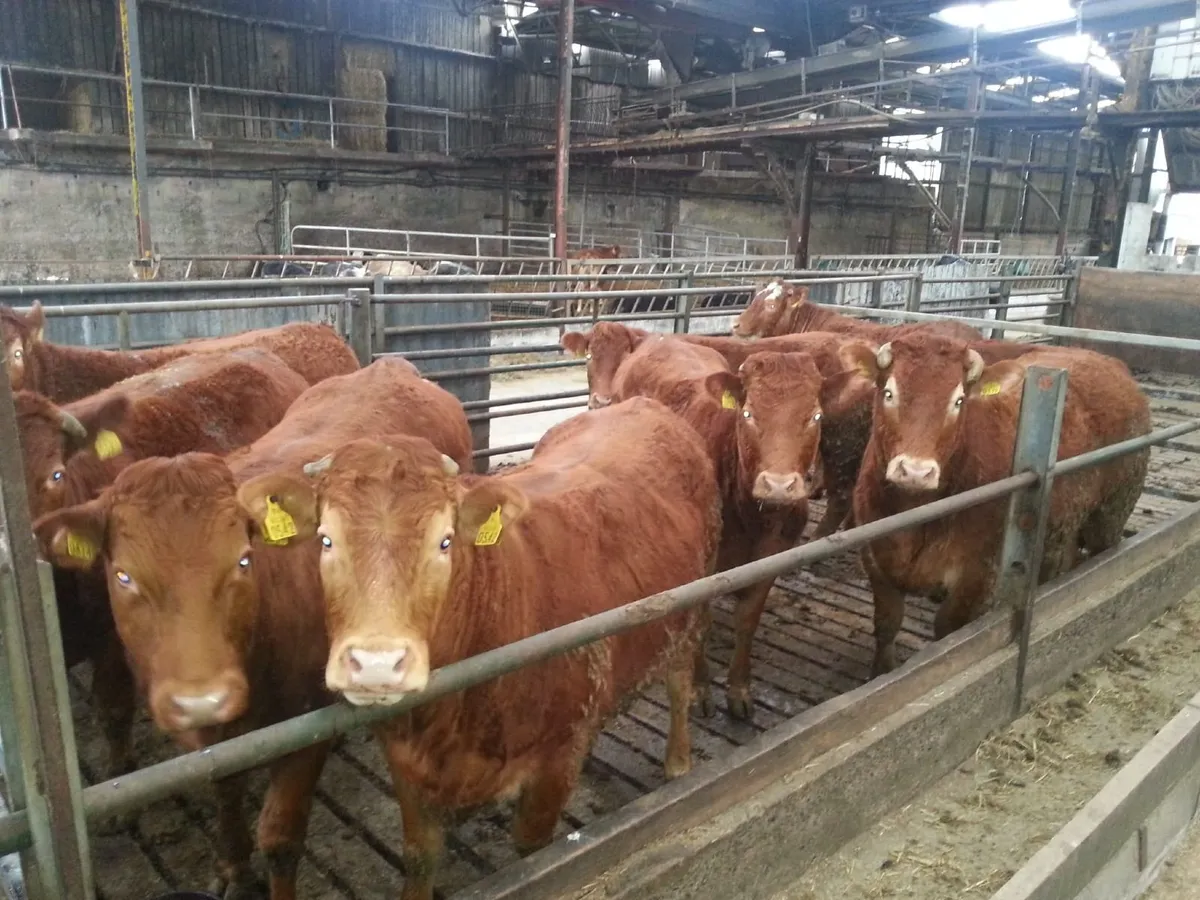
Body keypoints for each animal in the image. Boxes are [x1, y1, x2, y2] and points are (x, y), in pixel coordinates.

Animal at [33, 356, 471, 899]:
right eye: (123, 576)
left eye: (243, 560)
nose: (200, 699)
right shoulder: (215, 742)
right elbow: (225, 794)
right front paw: (236, 871)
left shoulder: (304, 734)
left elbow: (280, 837)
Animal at [236, 395, 720, 900]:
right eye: (326, 540)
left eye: (445, 541)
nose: (376, 665)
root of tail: (641, 404)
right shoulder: (407, 764)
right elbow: (420, 856)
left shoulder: (558, 758)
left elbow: (532, 852)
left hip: (692, 606)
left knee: (680, 685)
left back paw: (678, 764)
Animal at [844, 334, 1151, 675]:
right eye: (888, 393)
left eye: (959, 401)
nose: (915, 471)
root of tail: (1109, 363)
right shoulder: (877, 561)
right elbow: (887, 624)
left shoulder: (979, 576)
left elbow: (947, 634)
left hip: (1111, 513)